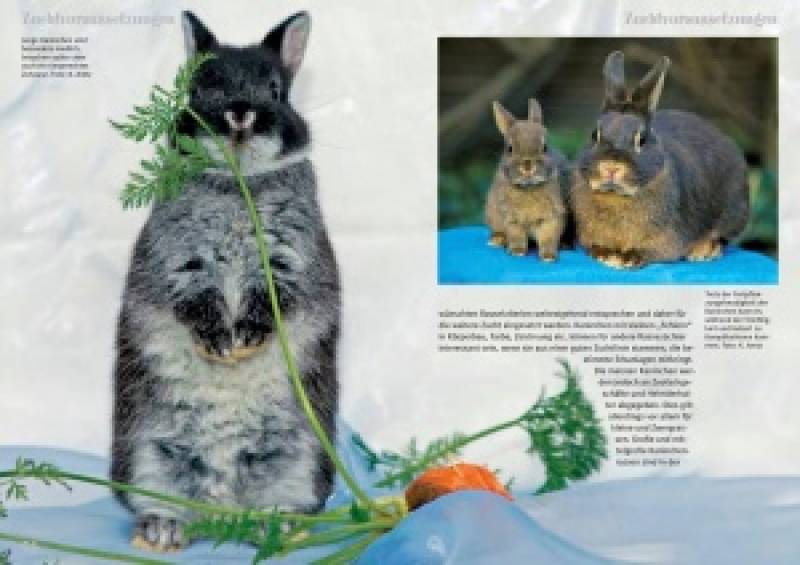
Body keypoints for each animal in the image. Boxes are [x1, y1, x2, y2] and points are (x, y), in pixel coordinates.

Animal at [485, 99, 571, 261]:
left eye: (545, 147)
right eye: (510, 148)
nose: (528, 165)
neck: (529, 187)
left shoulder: (552, 217)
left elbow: (548, 237)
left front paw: (548, 256)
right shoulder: (511, 219)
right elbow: (516, 236)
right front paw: (517, 252)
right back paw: (496, 240)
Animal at [571, 51, 750, 269]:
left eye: (642, 139)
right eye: (594, 135)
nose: (611, 168)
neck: (618, 197)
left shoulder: (666, 240)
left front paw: (625, 259)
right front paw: (606, 255)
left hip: (734, 209)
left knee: (723, 236)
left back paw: (703, 250)